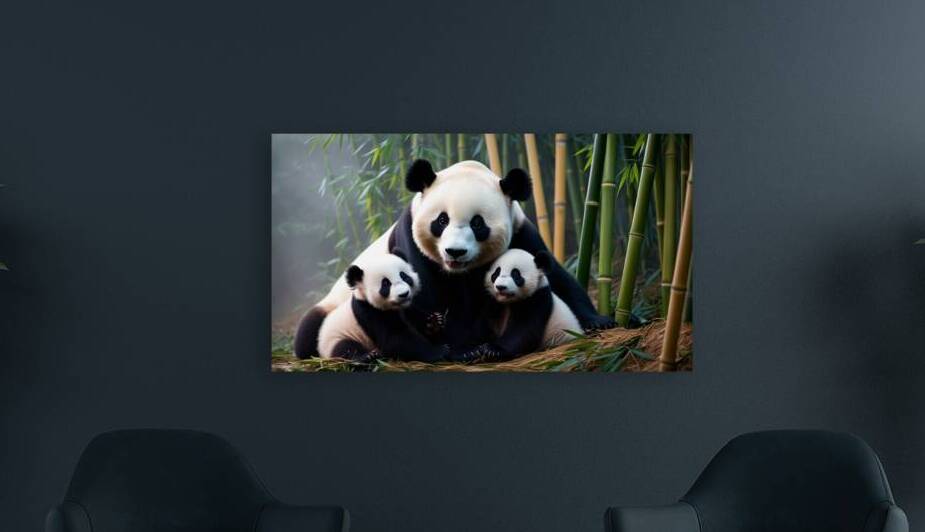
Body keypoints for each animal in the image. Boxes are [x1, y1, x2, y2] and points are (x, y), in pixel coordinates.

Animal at [316, 252, 446, 362]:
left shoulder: (405, 308)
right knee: (345, 348)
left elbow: (413, 314)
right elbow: (393, 340)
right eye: (385, 284)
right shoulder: (369, 312)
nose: (404, 294)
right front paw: (438, 351)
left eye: (404, 276)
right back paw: (367, 357)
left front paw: (433, 321)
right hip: (336, 338)